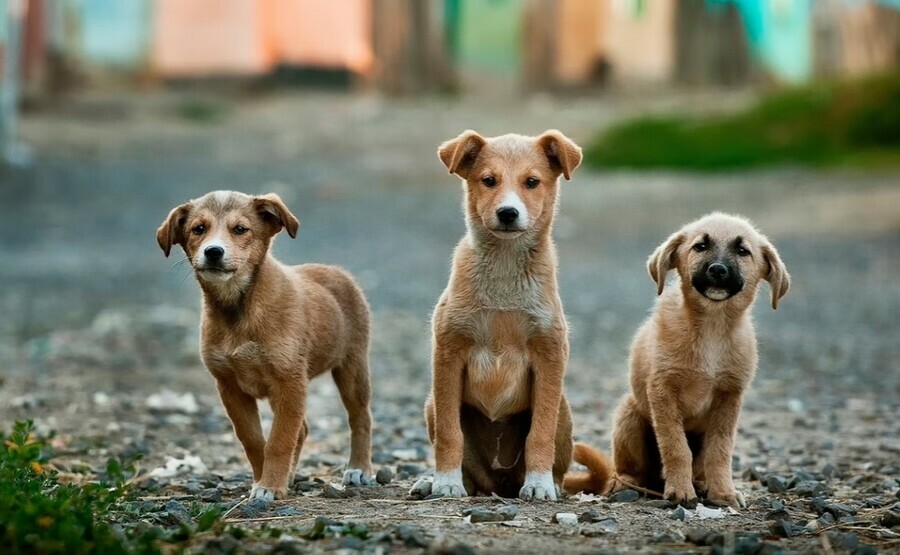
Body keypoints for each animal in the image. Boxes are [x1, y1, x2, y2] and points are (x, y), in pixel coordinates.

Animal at [158, 192, 372, 504]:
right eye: (198, 229)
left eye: (240, 229)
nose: (213, 252)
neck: (238, 309)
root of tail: (336, 271)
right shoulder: (230, 386)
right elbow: (254, 440)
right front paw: (265, 480)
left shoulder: (289, 381)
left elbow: (279, 440)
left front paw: (270, 485)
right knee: (303, 429)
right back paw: (291, 475)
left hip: (352, 367)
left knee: (360, 418)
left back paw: (359, 469)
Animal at [414, 131, 612, 504]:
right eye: (488, 180)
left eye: (532, 182)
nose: (508, 213)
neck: (504, 271)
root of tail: (500, 483)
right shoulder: (448, 353)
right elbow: (449, 433)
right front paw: (445, 482)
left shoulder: (549, 356)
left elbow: (540, 433)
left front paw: (539, 484)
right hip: (432, 403)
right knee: (469, 470)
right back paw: (430, 482)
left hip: (564, 410)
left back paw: (550, 484)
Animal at [608, 213, 792, 508]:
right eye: (700, 246)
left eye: (743, 251)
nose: (718, 270)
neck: (712, 328)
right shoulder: (662, 391)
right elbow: (675, 446)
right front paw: (680, 491)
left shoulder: (729, 397)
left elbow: (720, 450)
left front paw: (723, 492)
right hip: (629, 415)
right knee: (630, 468)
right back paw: (625, 483)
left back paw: (702, 484)